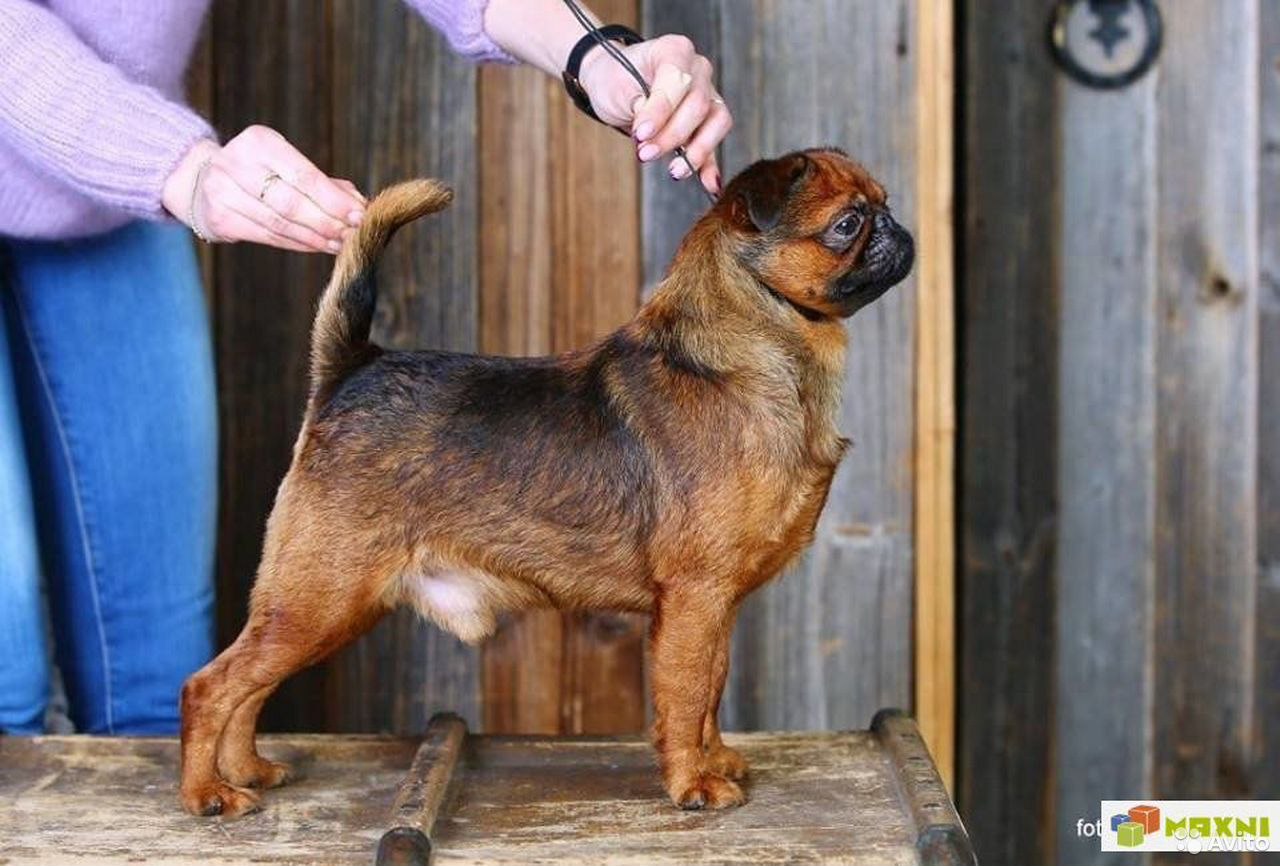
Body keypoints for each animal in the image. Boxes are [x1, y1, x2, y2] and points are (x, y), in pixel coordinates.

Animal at [180, 148, 916, 818]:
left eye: (881, 204)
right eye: (848, 224)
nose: (896, 228)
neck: (753, 353)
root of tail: (351, 367)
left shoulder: (716, 606)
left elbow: (711, 688)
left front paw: (714, 758)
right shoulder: (694, 597)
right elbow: (684, 696)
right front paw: (692, 784)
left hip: (318, 606)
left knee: (248, 685)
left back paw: (246, 769)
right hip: (320, 596)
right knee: (211, 685)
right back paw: (206, 792)